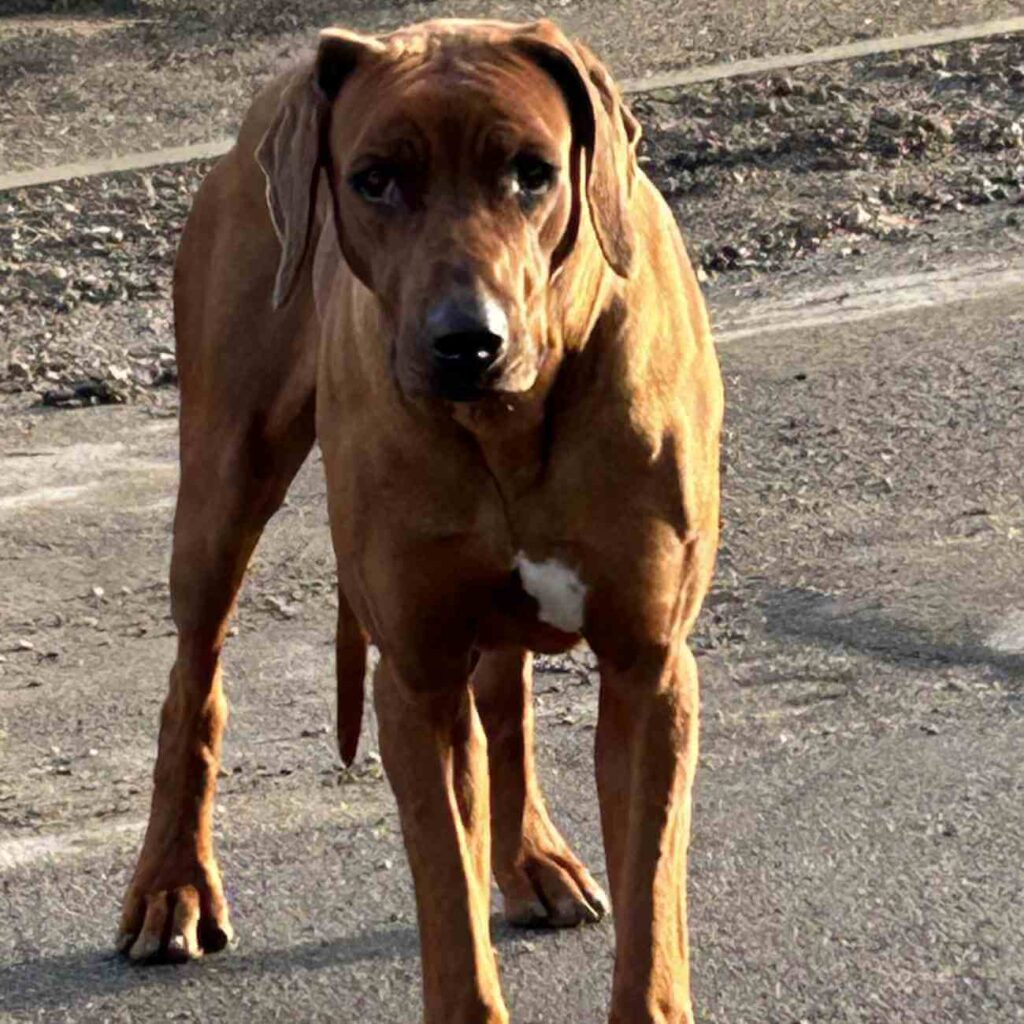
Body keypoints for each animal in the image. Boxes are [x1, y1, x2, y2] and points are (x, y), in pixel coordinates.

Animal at [117, 18, 720, 1024]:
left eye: (532, 172)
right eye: (374, 179)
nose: (465, 342)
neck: (509, 418)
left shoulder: (649, 664)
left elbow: (652, 911)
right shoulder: (415, 678)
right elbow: (448, 905)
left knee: (505, 697)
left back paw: (530, 858)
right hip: (222, 479)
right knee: (192, 680)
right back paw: (172, 886)